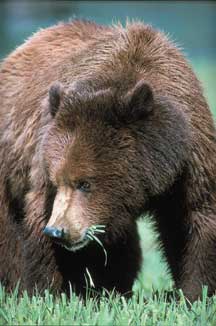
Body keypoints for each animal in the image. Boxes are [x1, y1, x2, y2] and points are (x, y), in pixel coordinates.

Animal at [0, 19, 216, 300]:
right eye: (59, 181)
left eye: (85, 183)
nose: (58, 231)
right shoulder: (43, 155)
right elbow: (38, 218)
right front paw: (47, 291)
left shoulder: (190, 160)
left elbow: (192, 219)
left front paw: (193, 294)